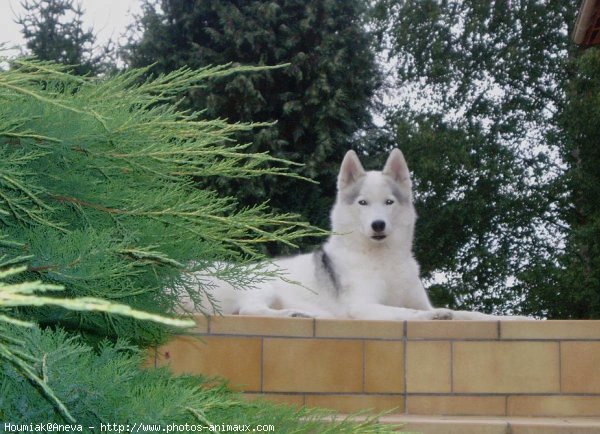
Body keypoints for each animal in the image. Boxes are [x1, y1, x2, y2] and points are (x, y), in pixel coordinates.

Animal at [192, 151, 528, 320]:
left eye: (389, 203)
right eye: (363, 203)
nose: (378, 225)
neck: (383, 261)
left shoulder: (424, 302)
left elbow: (477, 315)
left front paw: (519, 319)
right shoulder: (364, 306)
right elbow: (406, 312)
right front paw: (433, 318)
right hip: (264, 286)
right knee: (249, 310)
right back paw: (297, 314)